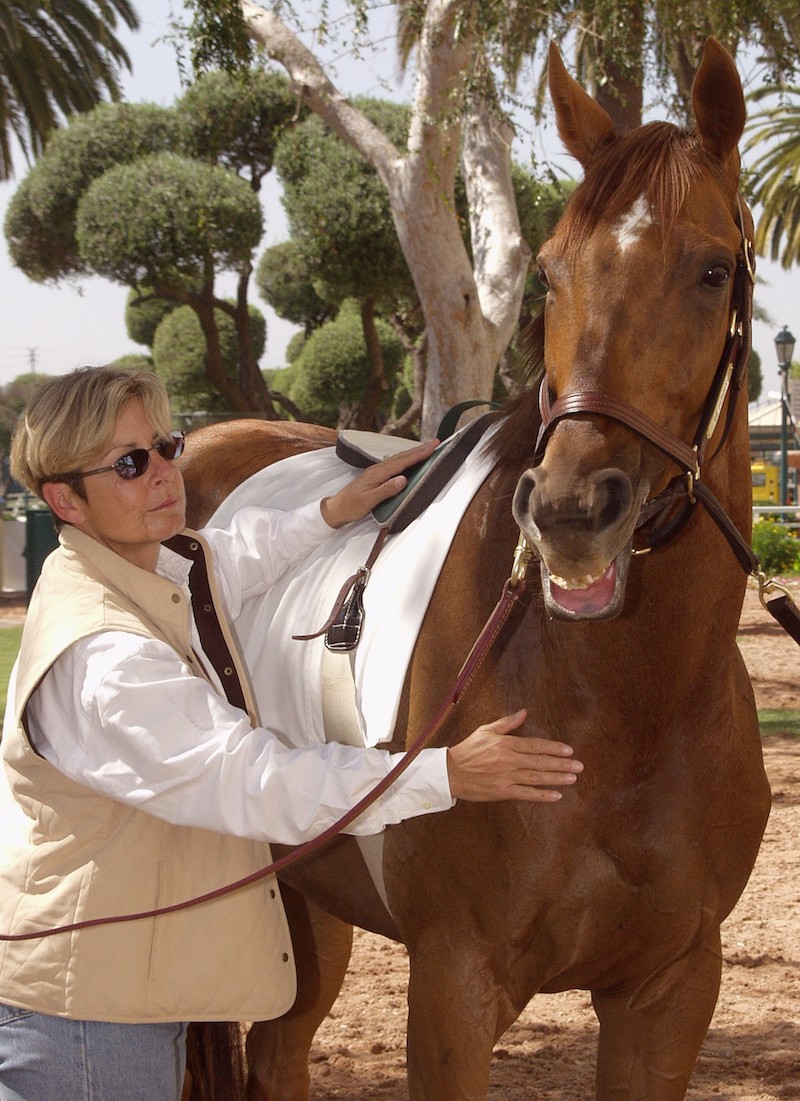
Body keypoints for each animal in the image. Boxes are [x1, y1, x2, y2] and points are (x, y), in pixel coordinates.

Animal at [180, 38, 770, 1101]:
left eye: (712, 270)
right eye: (551, 272)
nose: (572, 511)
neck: (626, 709)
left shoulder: (671, 986)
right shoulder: (455, 981)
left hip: (307, 897)